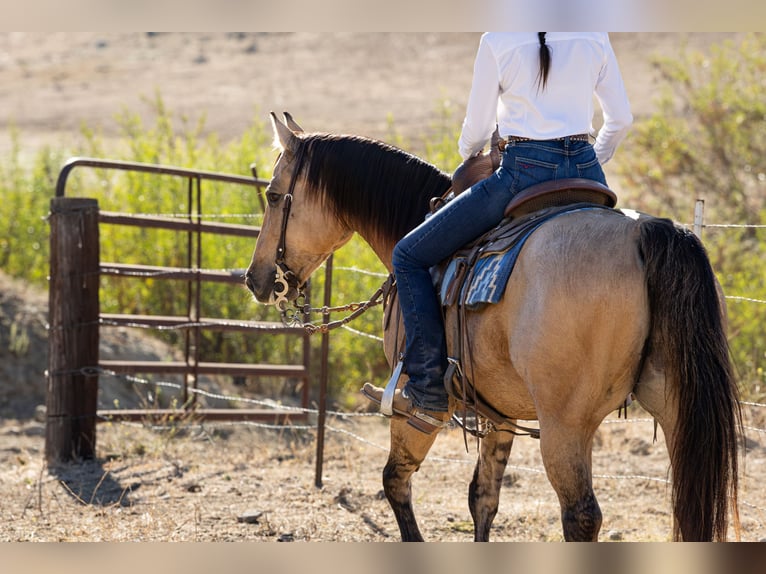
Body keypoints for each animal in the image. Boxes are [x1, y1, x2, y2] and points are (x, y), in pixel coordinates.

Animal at [245, 112, 742, 542]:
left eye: (272, 195)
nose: (255, 278)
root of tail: (645, 234)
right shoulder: (498, 409)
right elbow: (482, 498)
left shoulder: (414, 400)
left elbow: (394, 481)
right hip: (678, 411)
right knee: (686, 510)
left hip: (565, 426)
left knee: (581, 516)